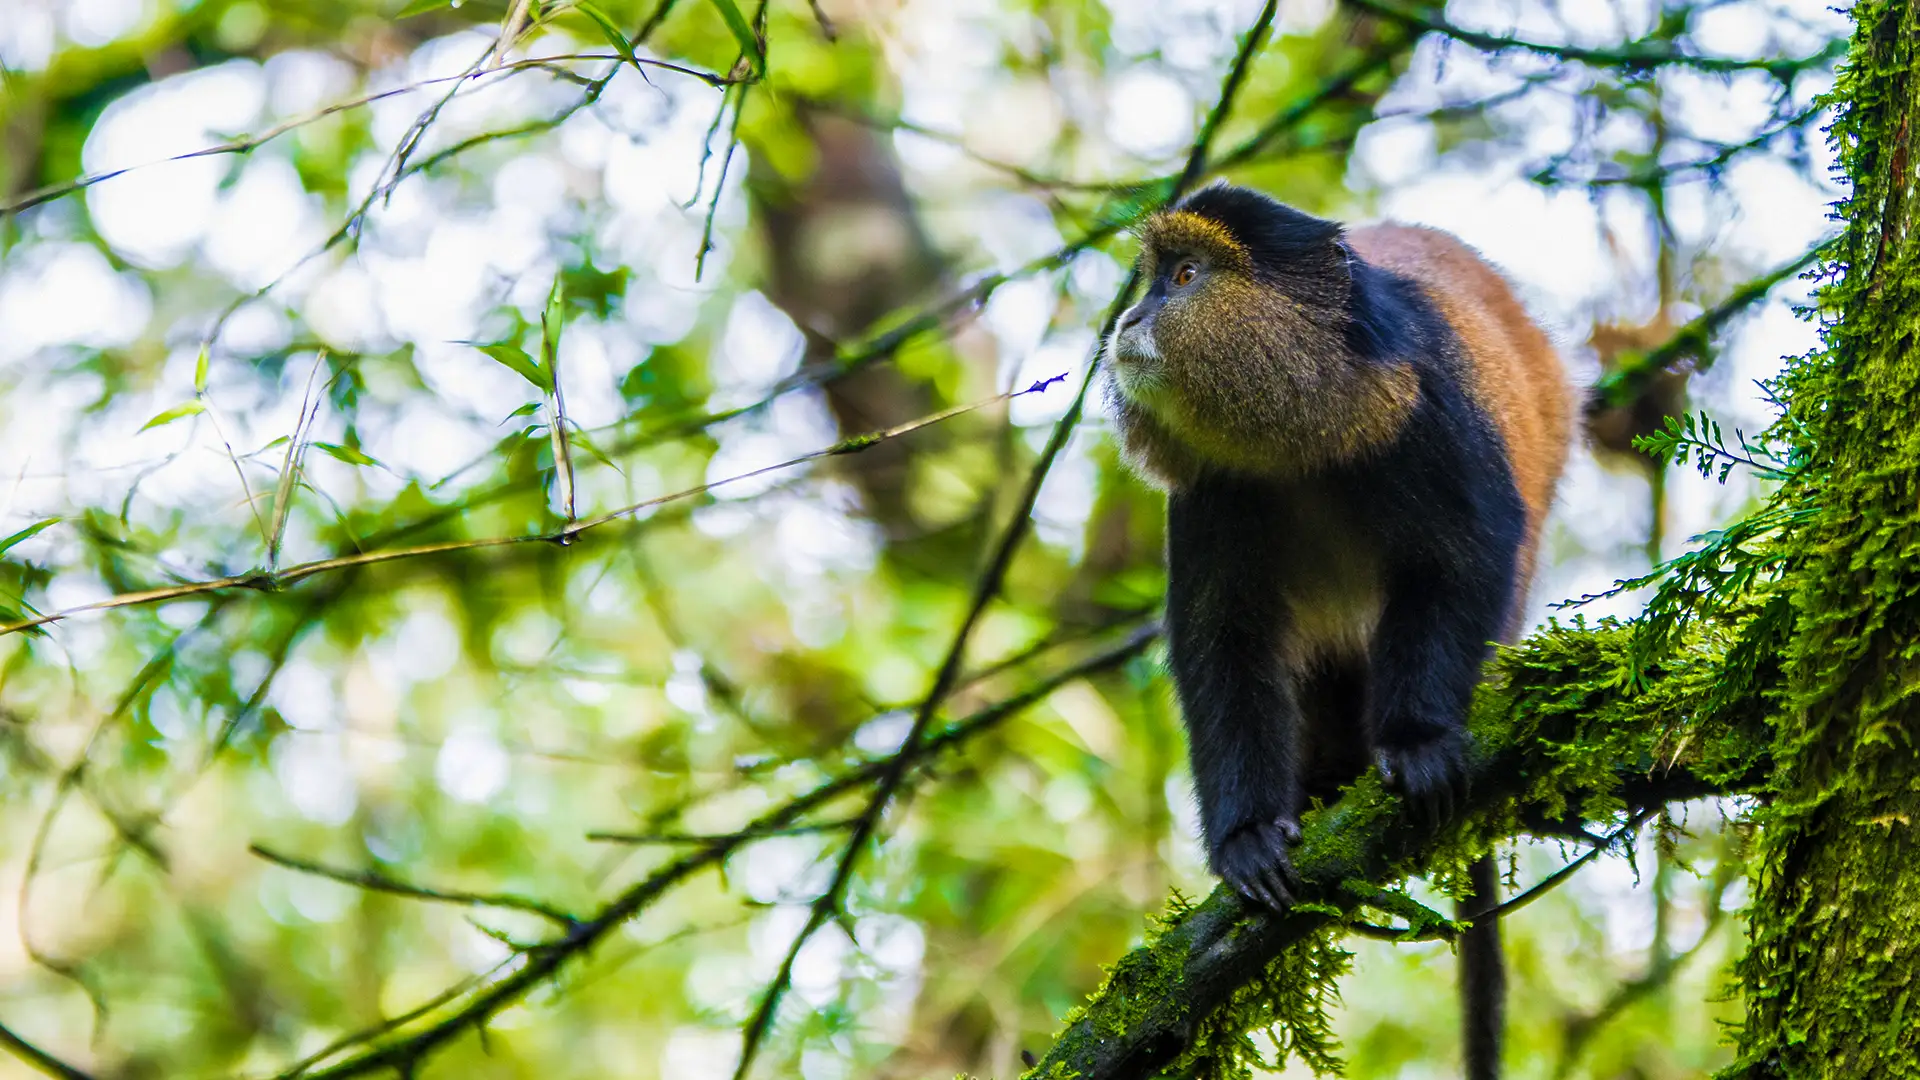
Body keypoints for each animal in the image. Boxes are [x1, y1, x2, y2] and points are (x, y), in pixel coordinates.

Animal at [1101, 182, 1573, 1080]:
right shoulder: (1213, 493)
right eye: (1150, 278)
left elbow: (1462, 560)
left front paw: (1418, 742)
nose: (1129, 318)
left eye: (1185, 275)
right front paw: (1248, 837)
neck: (1299, 441)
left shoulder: (1426, 406)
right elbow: (1222, 643)